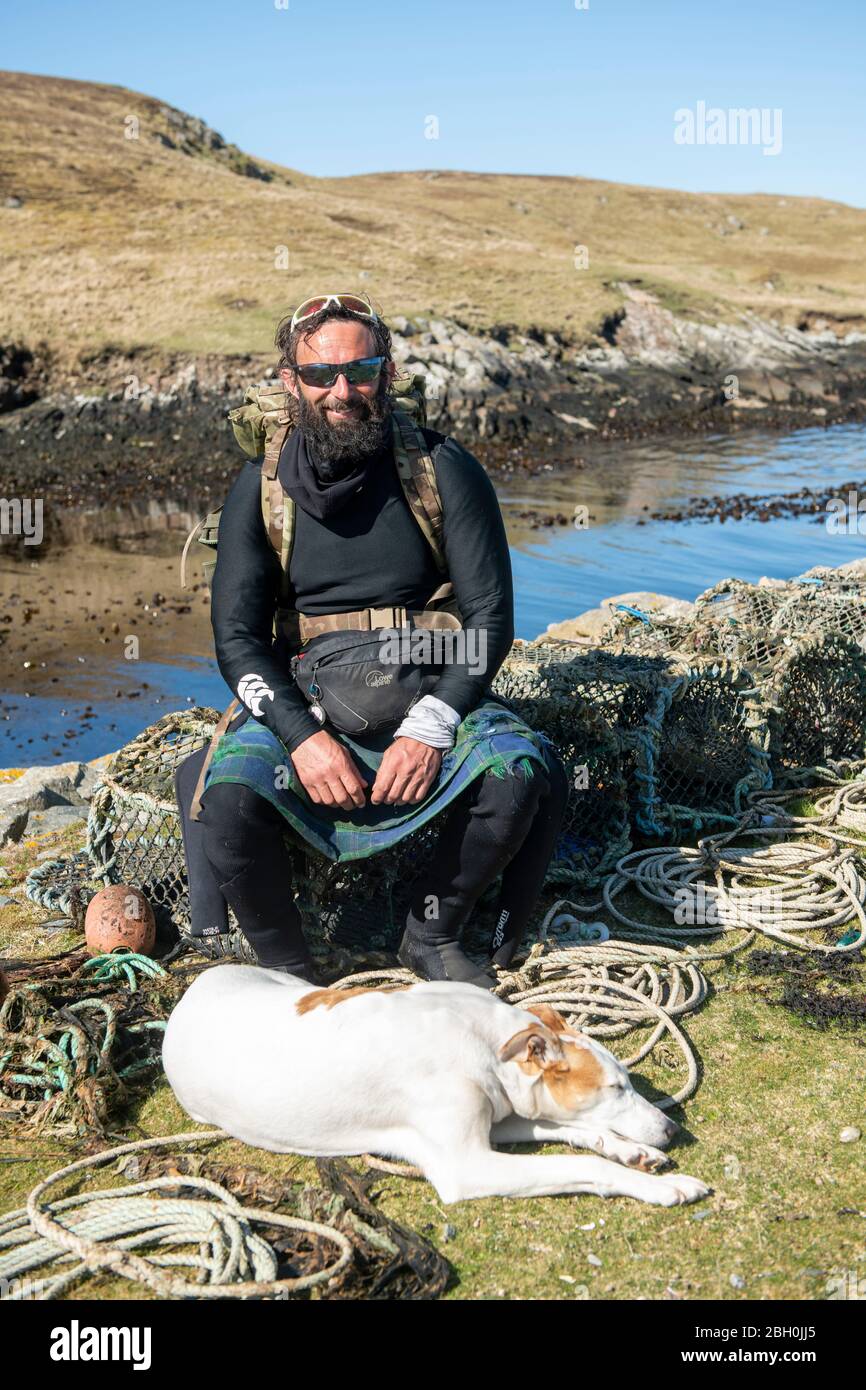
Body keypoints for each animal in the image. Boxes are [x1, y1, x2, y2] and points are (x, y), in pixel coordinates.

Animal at [162, 967, 711, 1206]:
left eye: (629, 1083)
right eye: (616, 1088)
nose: (672, 1131)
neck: (489, 1042)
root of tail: (191, 990)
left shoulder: (500, 1116)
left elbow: (573, 1132)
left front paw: (635, 1153)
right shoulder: (465, 1166)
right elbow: (578, 1163)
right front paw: (662, 1186)